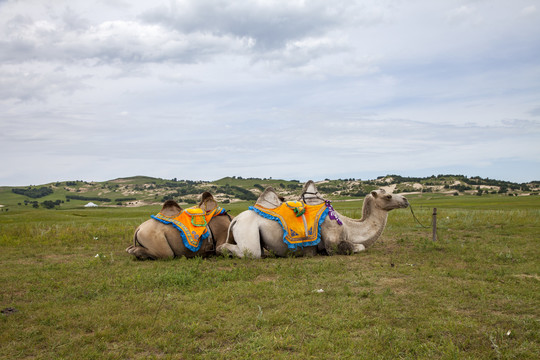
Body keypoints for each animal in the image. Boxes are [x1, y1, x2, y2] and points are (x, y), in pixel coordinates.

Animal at [217, 181, 408, 258]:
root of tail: (235, 220)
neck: (348, 226)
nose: (406, 200)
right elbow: (358, 247)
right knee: (250, 252)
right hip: (247, 231)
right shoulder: (332, 240)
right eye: (388, 196)